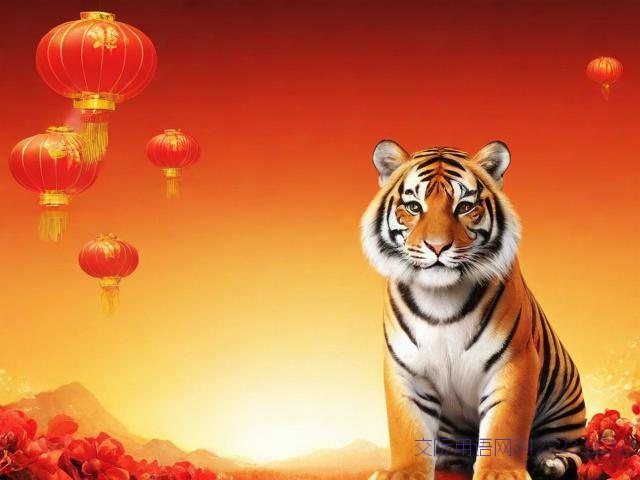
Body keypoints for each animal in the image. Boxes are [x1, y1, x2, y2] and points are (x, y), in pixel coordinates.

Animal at [360, 140, 586, 480]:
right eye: (413, 207)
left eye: (464, 207)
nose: (437, 247)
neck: (441, 300)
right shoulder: (406, 370)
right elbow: (407, 428)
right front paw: (403, 472)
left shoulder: (514, 362)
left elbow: (506, 423)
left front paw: (500, 472)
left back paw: (549, 462)